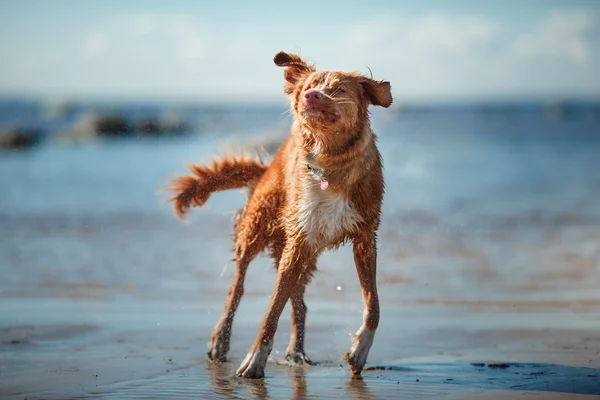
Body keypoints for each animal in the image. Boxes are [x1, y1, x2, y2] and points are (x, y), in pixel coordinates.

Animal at [168, 50, 394, 378]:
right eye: (310, 86)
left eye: (338, 89)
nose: (311, 96)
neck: (331, 165)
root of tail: (266, 168)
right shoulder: (299, 239)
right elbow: (271, 308)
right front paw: (254, 359)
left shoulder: (365, 237)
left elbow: (373, 304)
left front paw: (360, 350)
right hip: (257, 230)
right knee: (237, 287)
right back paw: (220, 340)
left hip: (302, 254)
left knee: (299, 303)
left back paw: (296, 353)